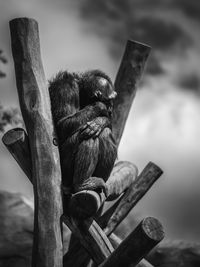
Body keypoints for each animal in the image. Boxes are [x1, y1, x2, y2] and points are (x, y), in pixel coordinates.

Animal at [48, 69, 117, 201]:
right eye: (109, 99)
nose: (111, 107)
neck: (81, 92)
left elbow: (107, 125)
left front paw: (100, 122)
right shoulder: (66, 89)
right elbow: (62, 123)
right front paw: (100, 106)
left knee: (105, 133)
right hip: (64, 172)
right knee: (88, 137)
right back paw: (81, 184)